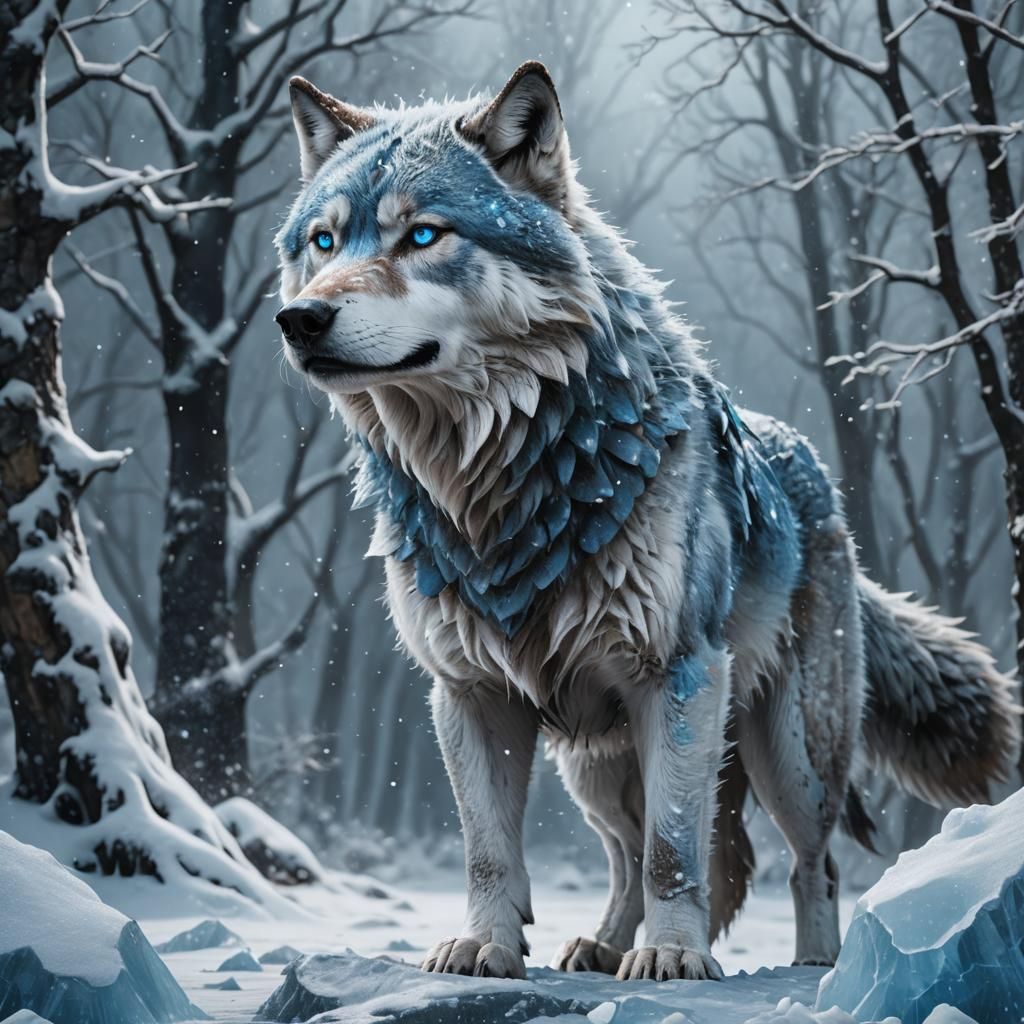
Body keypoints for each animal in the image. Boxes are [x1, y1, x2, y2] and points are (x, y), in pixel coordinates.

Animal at [273, 62, 1020, 981]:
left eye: (422, 236)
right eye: (324, 242)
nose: (301, 320)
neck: (495, 490)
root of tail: (811, 466)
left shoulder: (682, 677)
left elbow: (675, 850)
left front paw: (671, 955)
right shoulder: (469, 692)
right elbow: (490, 850)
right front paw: (486, 946)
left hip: (787, 754)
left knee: (808, 861)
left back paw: (815, 966)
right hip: (593, 765)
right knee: (625, 853)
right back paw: (600, 945)